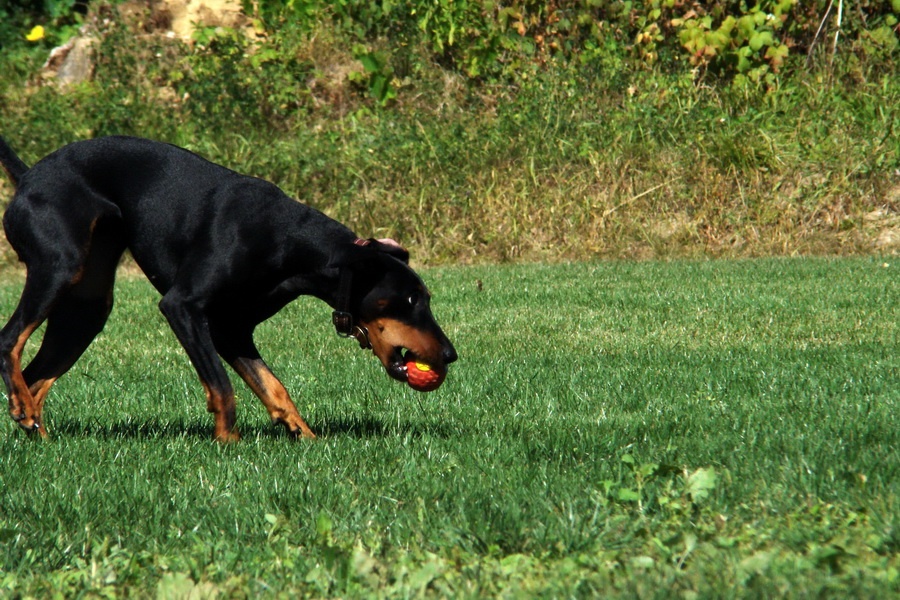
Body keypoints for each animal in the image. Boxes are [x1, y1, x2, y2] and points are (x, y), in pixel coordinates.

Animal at [1, 136, 458, 440]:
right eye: (411, 299)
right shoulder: (184, 308)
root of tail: (28, 177)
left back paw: (34, 428)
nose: (451, 354)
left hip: (87, 308)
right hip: (59, 269)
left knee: (37, 377)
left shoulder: (231, 329)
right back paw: (23, 408)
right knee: (10, 340)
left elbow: (273, 387)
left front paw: (306, 438)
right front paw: (228, 444)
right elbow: (222, 387)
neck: (289, 242)